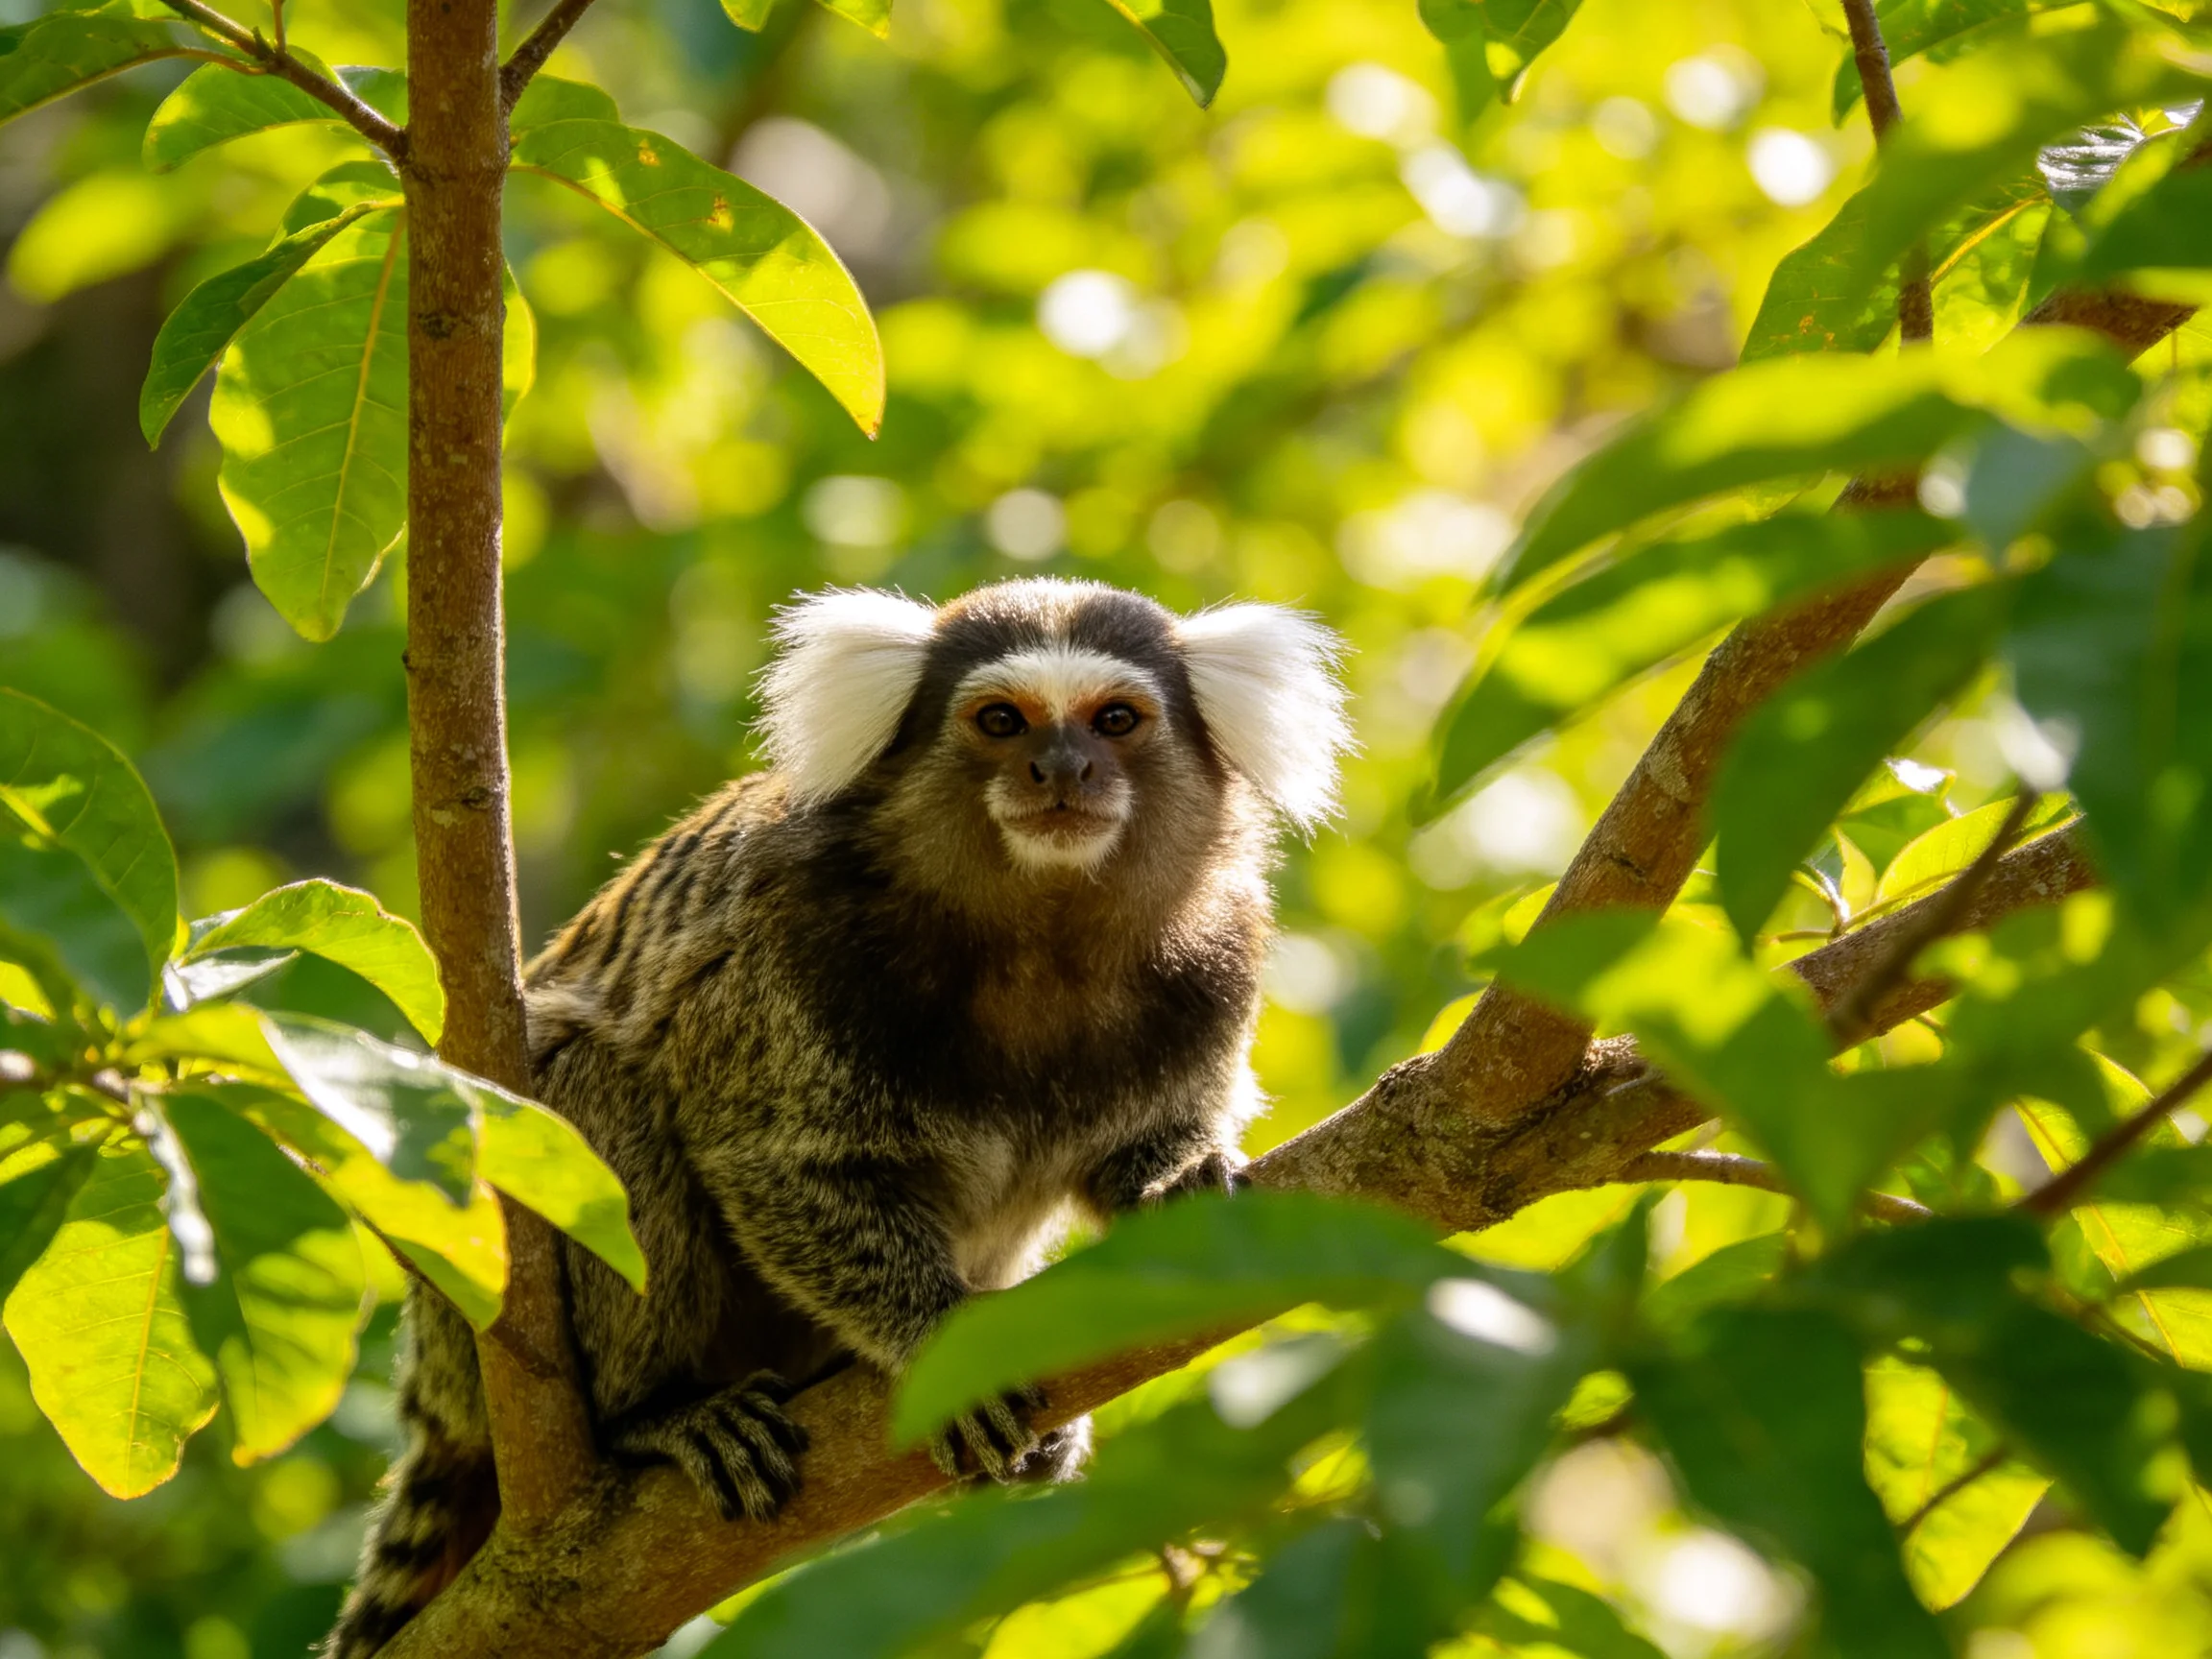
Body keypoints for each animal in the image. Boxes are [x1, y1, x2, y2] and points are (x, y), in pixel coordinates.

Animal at [324, 577, 1351, 1656]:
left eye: (1116, 720)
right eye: (1001, 721)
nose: (1061, 768)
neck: (1041, 934)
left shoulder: (1220, 957)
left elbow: (1138, 1150)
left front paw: (1176, 1176)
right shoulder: (784, 947)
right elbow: (773, 1164)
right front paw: (941, 1341)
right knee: (595, 1091)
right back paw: (658, 1412)